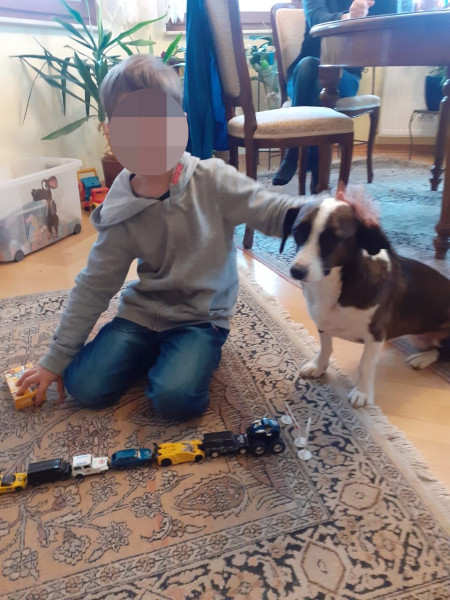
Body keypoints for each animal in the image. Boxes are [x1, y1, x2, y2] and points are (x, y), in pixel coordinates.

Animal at [280, 190, 450, 407]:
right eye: (298, 232)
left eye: (332, 239)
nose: (297, 271)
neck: (335, 284)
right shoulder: (323, 323)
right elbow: (326, 347)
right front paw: (319, 366)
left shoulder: (374, 334)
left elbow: (365, 365)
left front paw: (362, 392)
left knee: (442, 353)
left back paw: (423, 358)